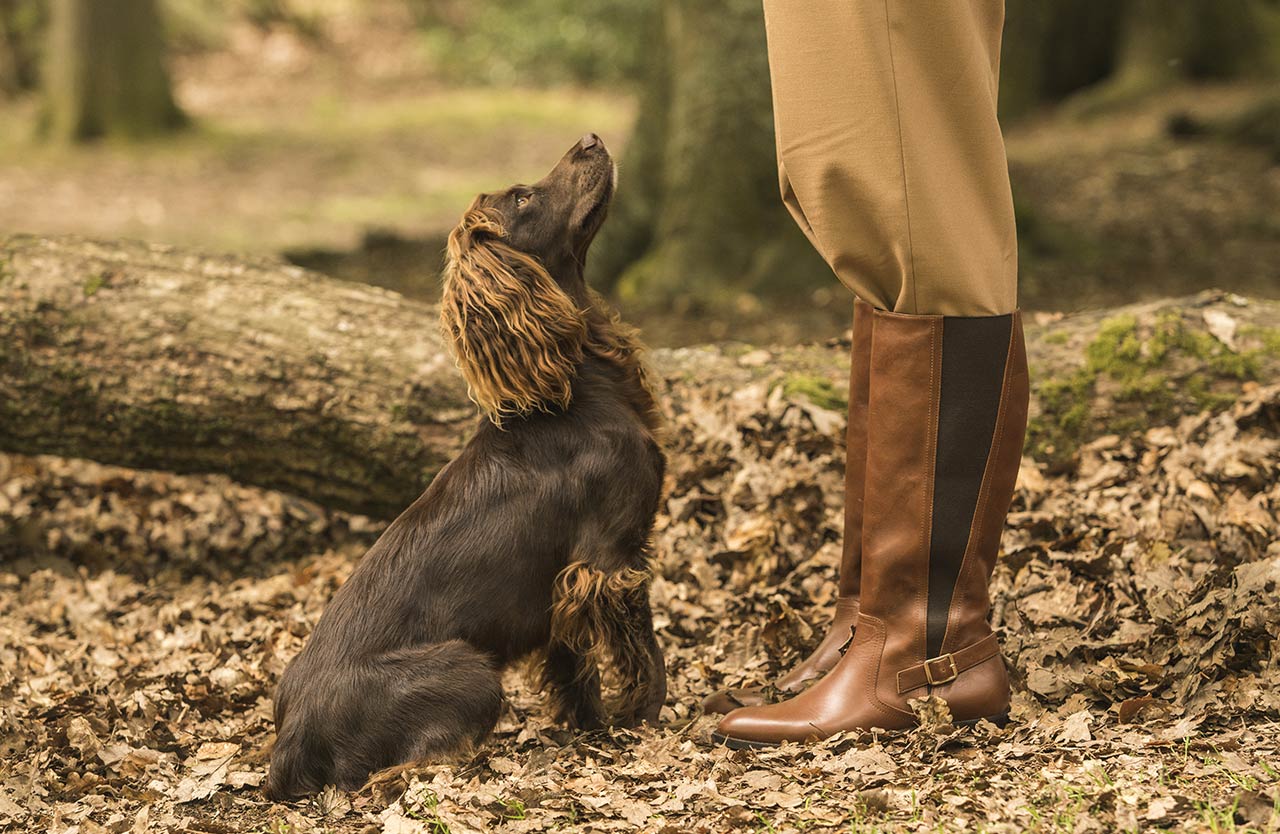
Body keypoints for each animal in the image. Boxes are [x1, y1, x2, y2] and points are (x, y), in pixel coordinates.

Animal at [270, 133, 670, 798]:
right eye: (524, 197)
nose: (590, 139)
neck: (576, 387)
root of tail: (290, 739)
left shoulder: (564, 581)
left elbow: (575, 665)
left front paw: (591, 729)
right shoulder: (610, 558)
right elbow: (645, 651)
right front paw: (649, 720)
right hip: (471, 669)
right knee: (404, 769)